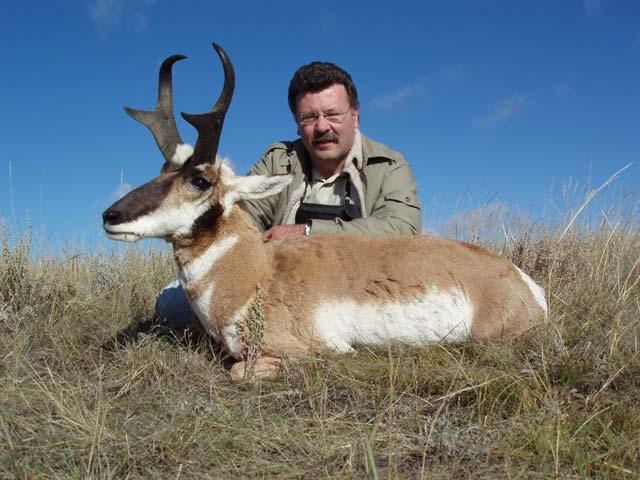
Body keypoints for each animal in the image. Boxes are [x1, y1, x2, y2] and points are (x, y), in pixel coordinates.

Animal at [102, 44, 548, 382]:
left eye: (199, 180)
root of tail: (521, 280)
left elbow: (237, 371)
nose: (110, 216)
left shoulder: (298, 350)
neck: (257, 270)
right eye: (163, 169)